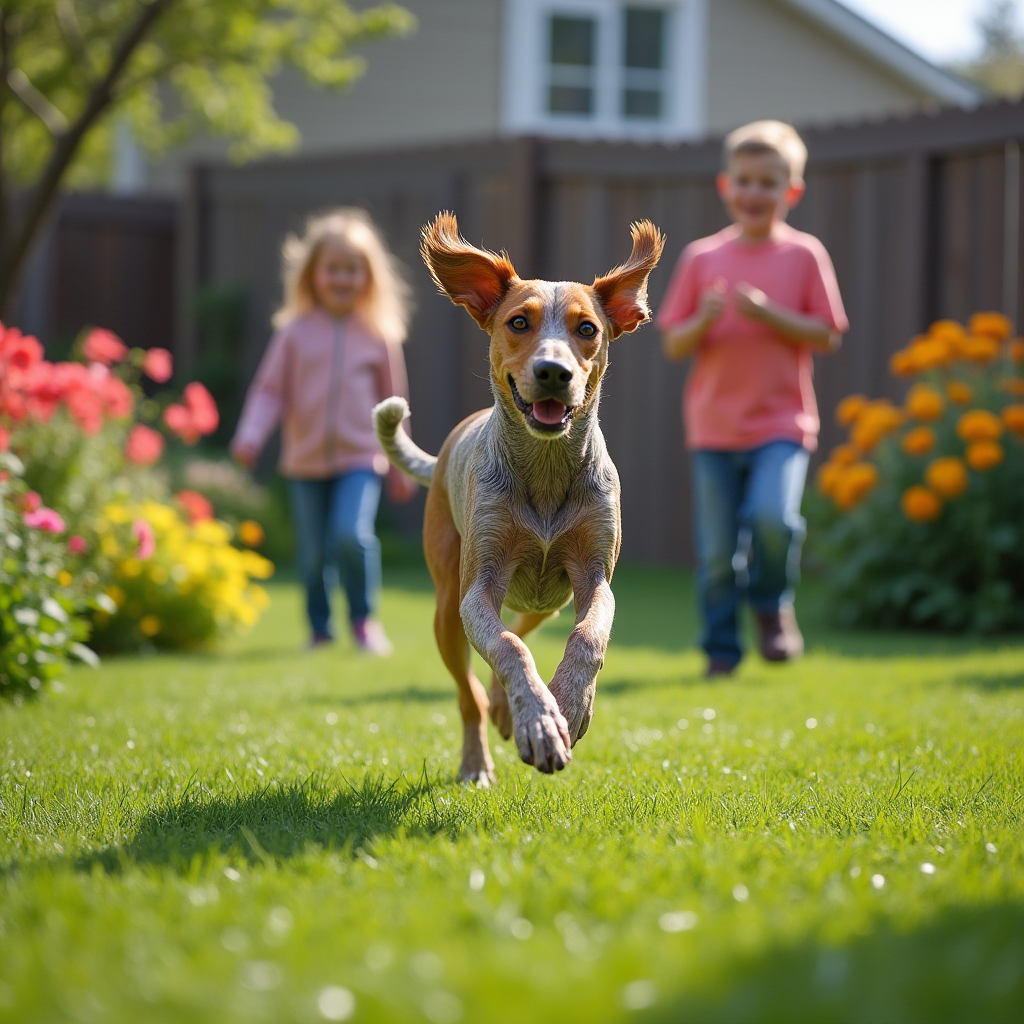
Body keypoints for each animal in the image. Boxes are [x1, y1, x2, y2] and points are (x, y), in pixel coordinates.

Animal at [376, 214, 663, 782]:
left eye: (587, 329)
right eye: (518, 322)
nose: (554, 372)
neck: (546, 474)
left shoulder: (594, 576)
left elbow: (588, 637)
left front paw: (567, 706)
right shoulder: (478, 587)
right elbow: (506, 647)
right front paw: (540, 723)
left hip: (547, 602)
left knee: (521, 632)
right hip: (446, 608)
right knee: (471, 689)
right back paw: (479, 758)